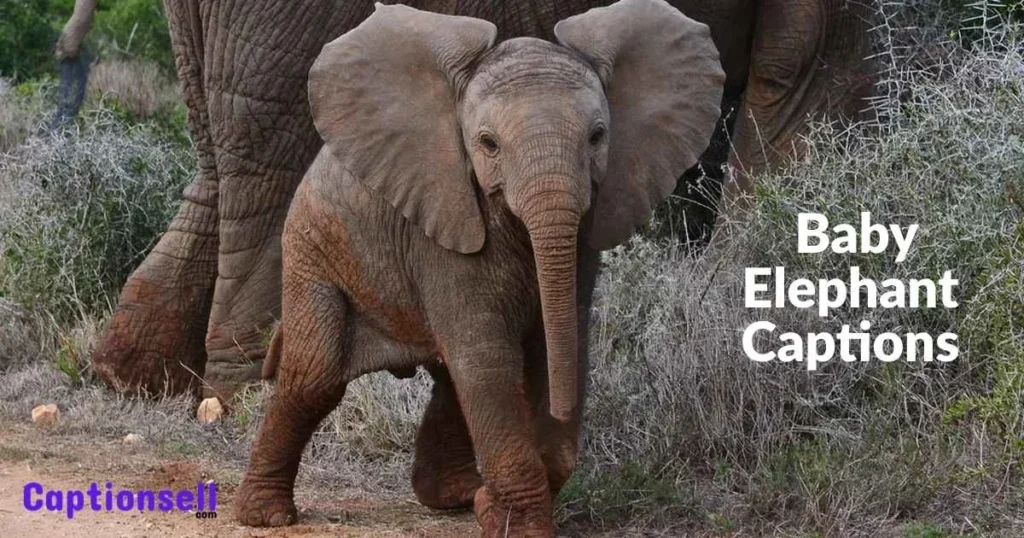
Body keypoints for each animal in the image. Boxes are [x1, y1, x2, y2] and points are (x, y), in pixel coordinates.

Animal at [231, 1, 723, 535]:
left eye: (597, 137)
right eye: (488, 143)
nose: (562, 410)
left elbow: (553, 344)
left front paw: (494, 502)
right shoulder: (442, 228)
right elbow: (488, 357)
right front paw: (515, 524)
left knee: (447, 378)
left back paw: (454, 496)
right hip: (312, 246)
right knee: (314, 376)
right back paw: (266, 515)